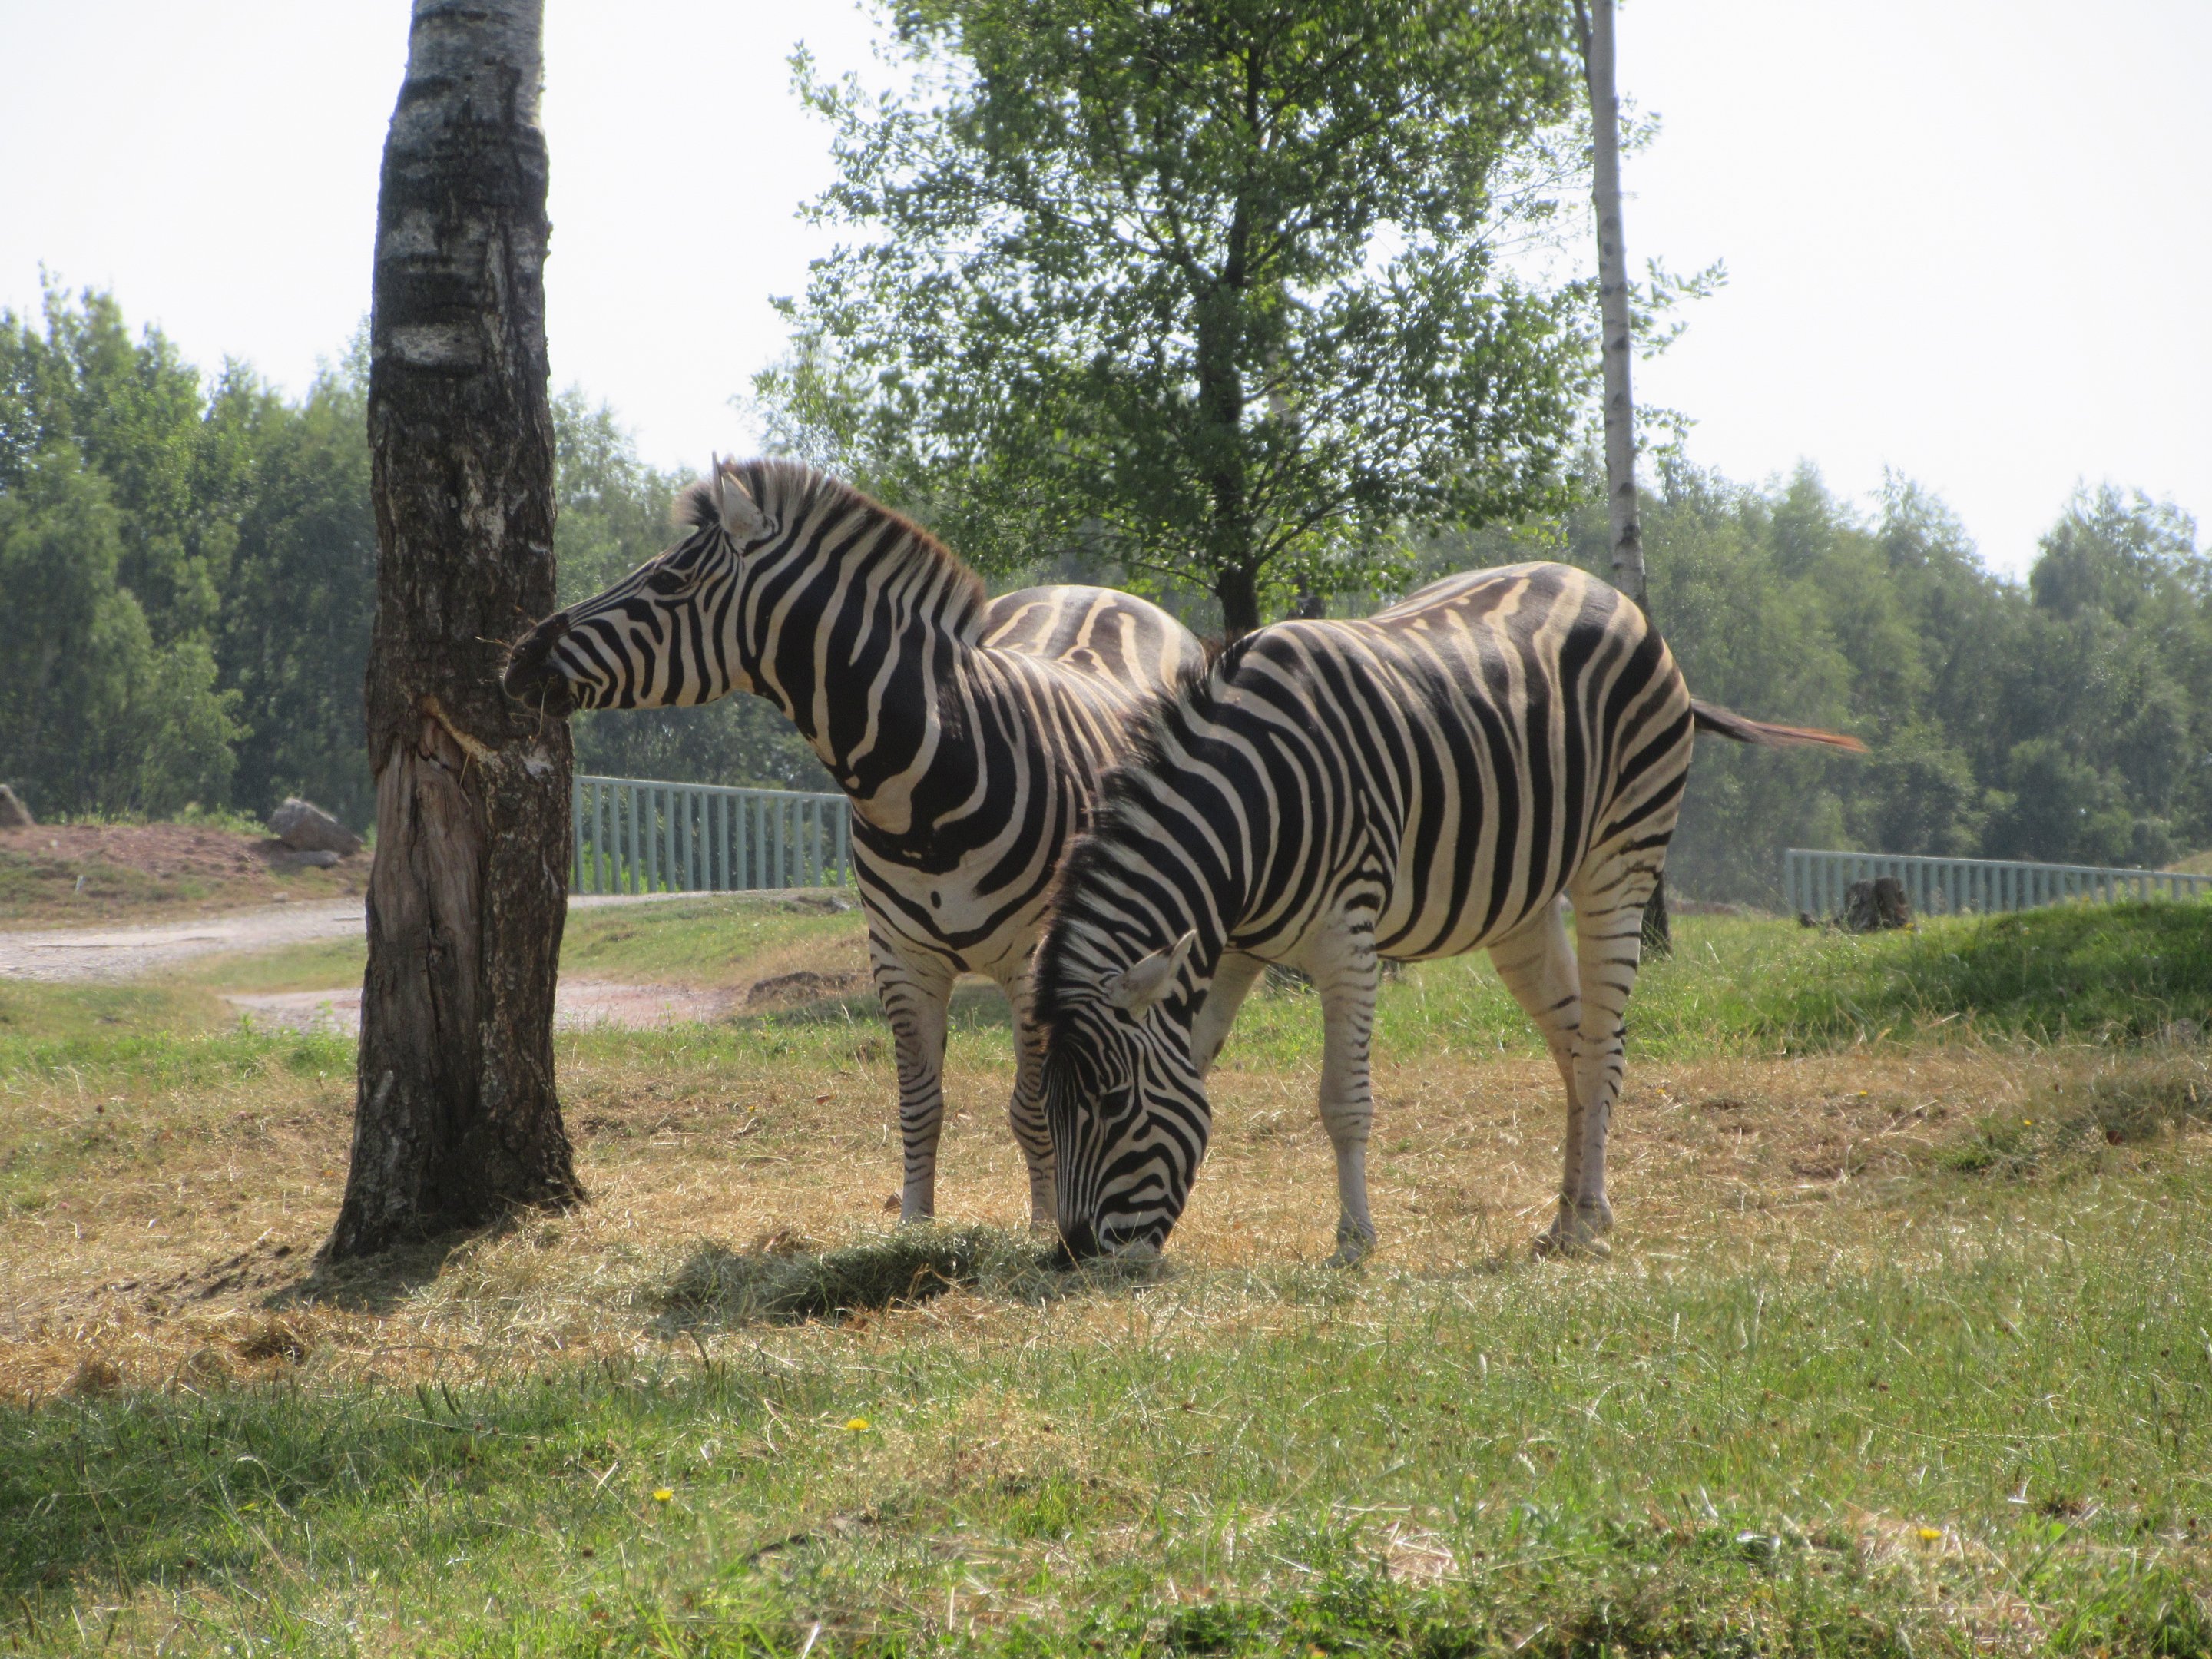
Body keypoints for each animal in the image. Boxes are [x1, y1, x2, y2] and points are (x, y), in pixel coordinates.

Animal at [502, 458, 1215, 1232]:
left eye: (668, 582)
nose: (517, 661)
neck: (927, 783)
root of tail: (1101, 591)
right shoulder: (899, 959)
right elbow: (919, 1105)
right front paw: (914, 1227)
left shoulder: (1037, 963)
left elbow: (1035, 1109)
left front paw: (1041, 1227)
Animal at [1031, 561, 1862, 1264]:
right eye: (1049, 1102)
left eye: (1112, 1102)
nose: (1074, 1253)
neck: (1251, 812)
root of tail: (1611, 594)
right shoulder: (1231, 947)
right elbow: (1198, 1067)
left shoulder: (1347, 939)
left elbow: (1342, 1101)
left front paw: (1354, 1241)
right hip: (1523, 905)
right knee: (1574, 1047)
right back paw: (1565, 1219)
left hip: (1621, 857)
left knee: (1604, 1041)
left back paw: (1592, 1218)